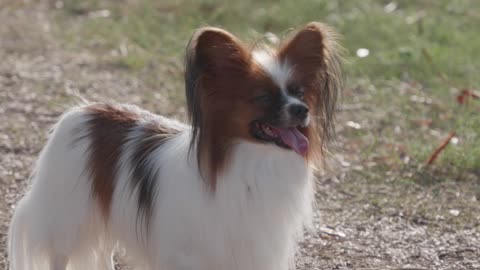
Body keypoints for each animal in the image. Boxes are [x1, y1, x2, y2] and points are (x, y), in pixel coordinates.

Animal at [6, 22, 342, 268]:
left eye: (300, 92)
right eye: (262, 97)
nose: (302, 110)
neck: (253, 159)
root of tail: (83, 110)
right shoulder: (190, 254)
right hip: (70, 216)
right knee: (61, 254)